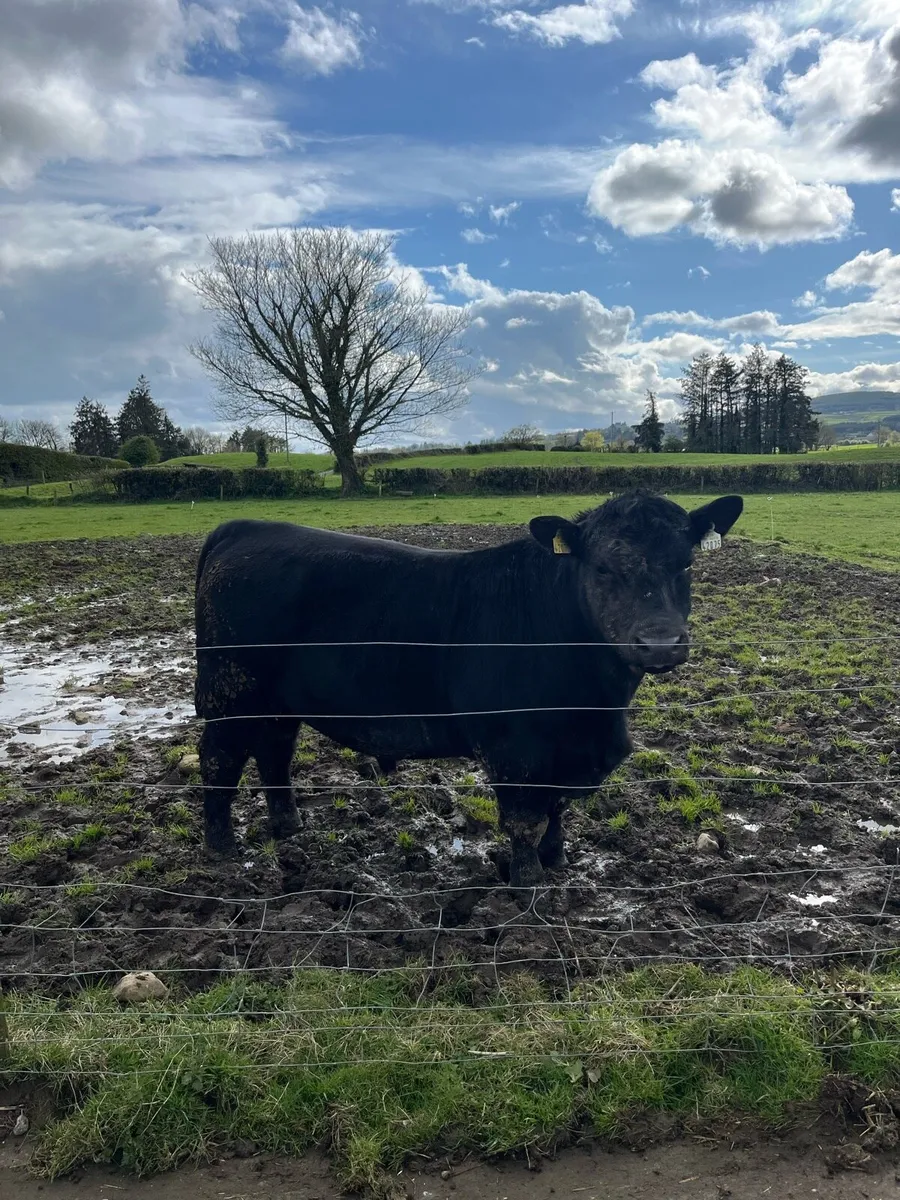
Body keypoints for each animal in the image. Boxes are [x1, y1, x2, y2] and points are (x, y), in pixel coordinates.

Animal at [194, 490, 743, 887]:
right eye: (603, 566)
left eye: (686, 563)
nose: (660, 642)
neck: (596, 706)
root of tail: (243, 527)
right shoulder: (515, 746)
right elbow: (525, 818)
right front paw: (527, 881)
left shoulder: (566, 751)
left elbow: (557, 809)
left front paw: (557, 859)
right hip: (229, 693)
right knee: (220, 761)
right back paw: (221, 848)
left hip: (276, 701)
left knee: (274, 754)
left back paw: (289, 827)